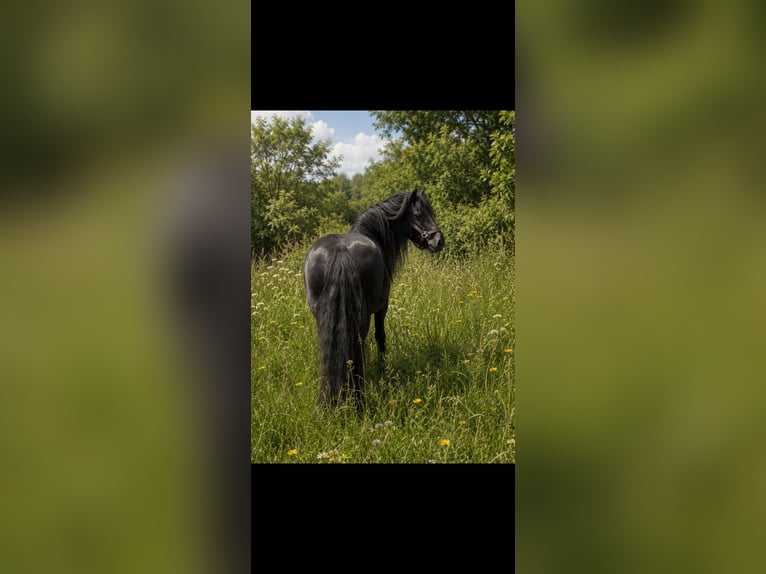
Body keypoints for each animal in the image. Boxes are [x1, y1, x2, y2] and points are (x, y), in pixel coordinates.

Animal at [304, 188, 444, 408]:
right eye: (418, 214)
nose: (439, 241)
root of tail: (340, 252)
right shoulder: (381, 307)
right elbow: (380, 337)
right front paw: (381, 369)